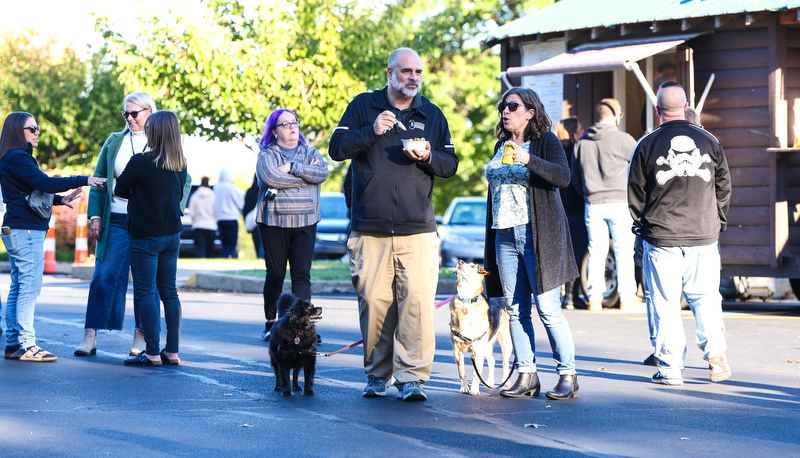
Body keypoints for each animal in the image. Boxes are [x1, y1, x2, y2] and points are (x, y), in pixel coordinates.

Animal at [450, 262, 512, 394]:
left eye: (473, 266)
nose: (460, 261)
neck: (467, 300)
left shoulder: (477, 350)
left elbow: (476, 373)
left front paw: (474, 389)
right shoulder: (457, 350)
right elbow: (461, 372)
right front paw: (464, 387)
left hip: (506, 343)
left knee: (505, 362)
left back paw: (506, 382)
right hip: (487, 346)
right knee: (492, 361)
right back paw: (490, 382)